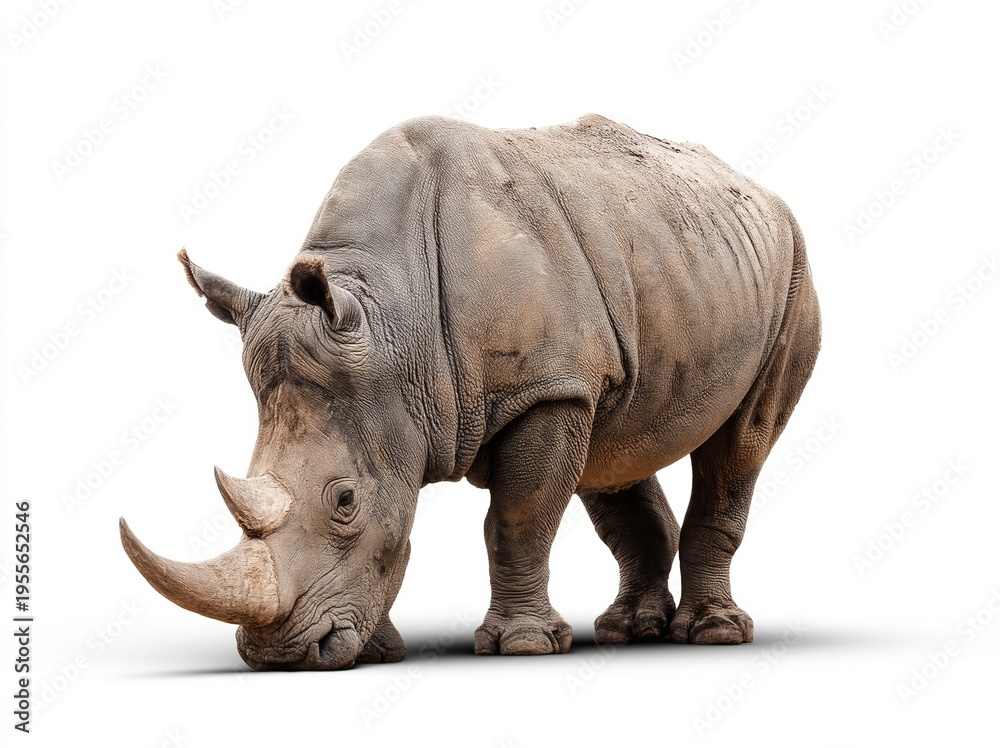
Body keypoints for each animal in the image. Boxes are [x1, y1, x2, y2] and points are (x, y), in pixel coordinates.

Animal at [120, 114, 820, 670]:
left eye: (344, 501)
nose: (278, 656)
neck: (392, 321)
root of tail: (756, 189)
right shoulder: (502, 387)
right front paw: (382, 652)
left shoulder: (545, 387)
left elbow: (518, 516)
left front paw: (522, 646)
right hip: (661, 266)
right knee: (614, 451)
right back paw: (630, 631)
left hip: (791, 271)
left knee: (739, 445)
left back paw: (713, 635)